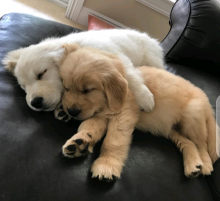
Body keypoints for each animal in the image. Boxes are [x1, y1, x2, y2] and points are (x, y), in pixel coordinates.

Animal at [2, 28, 163, 114]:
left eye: (41, 74)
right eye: (23, 87)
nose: (35, 103)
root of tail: (149, 38)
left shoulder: (118, 58)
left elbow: (130, 77)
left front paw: (145, 98)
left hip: (152, 58)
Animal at [59, 42, 219, 181]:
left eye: (87, 90)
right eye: (66, 88)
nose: (71, 111)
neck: (105, 103)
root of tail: (208, 104)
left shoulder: (123, 115)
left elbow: (113, 141)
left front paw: (106, 166)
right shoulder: (100, 116)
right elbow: (88, 127)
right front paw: (79, 143)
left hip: (192, 117)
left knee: (202, 144)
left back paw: (205, 164)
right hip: (172, 129)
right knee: (188, 143)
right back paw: (193, 166)